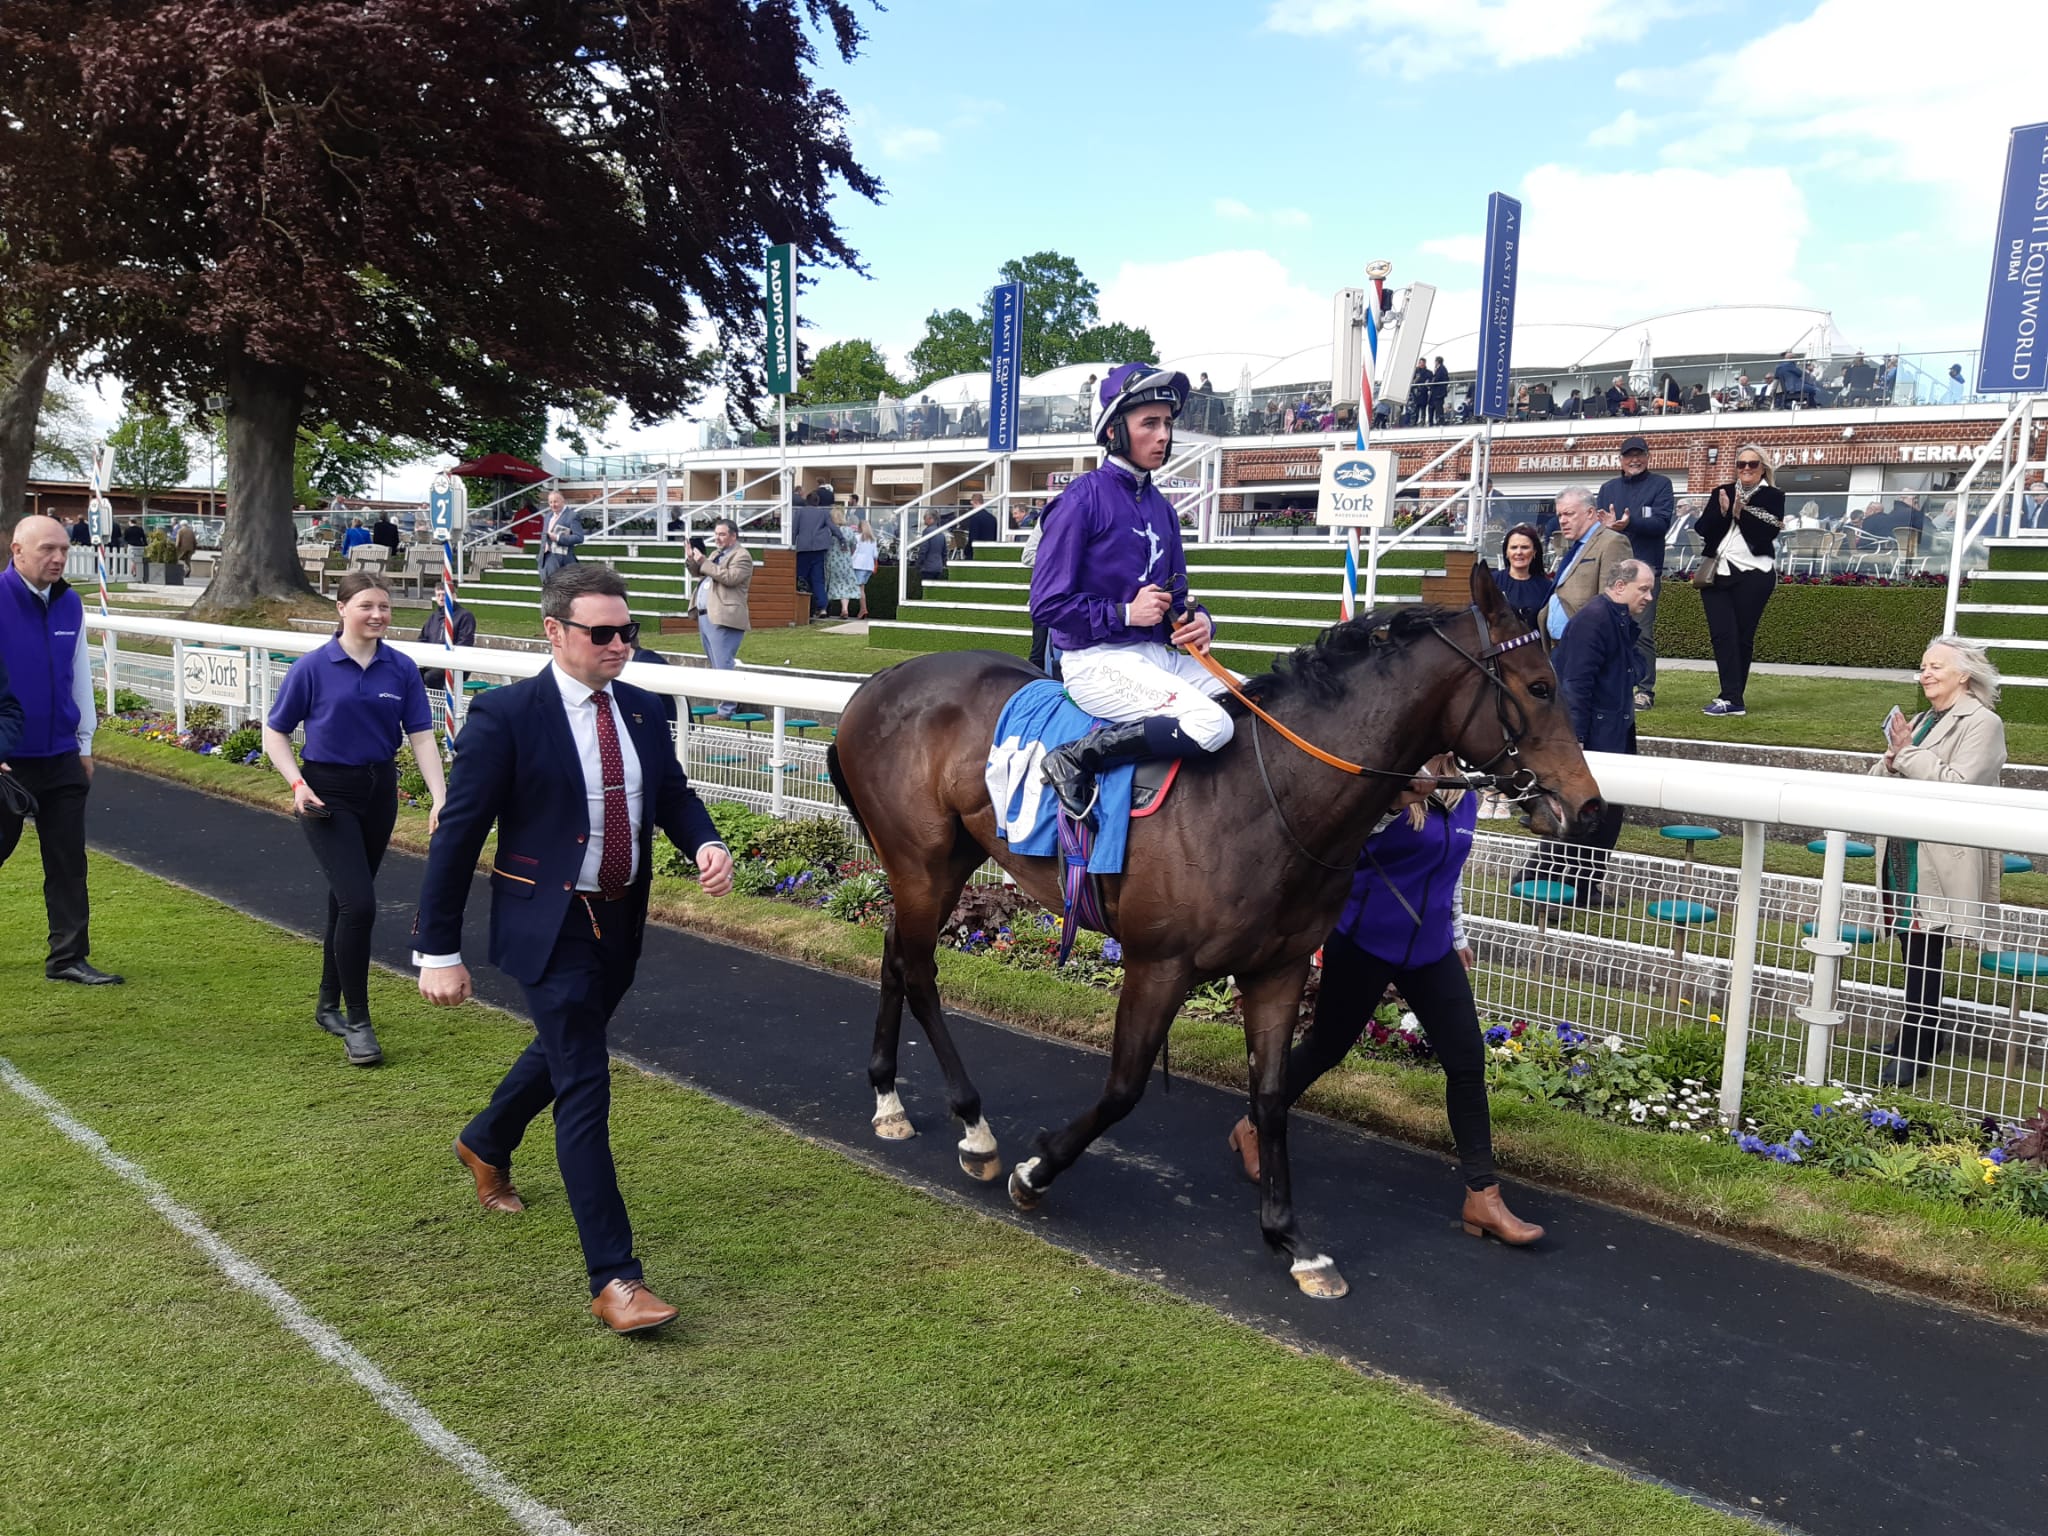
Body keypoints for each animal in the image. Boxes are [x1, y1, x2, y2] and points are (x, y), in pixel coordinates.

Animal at [823, 565, 1605, 1302]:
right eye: (1539, 687)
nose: (1591, 809)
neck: (1265, 796)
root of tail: (881, 680)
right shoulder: (1158, 965)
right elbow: (1124, 1087)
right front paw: (1035, 1170)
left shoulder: (1278, 969)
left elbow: (1272, 1094)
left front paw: (1294, 1242)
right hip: (921, 861)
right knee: (920, 972)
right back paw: (974, 1129)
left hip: (944, 861)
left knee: (896, 957)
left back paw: (889, 1099)